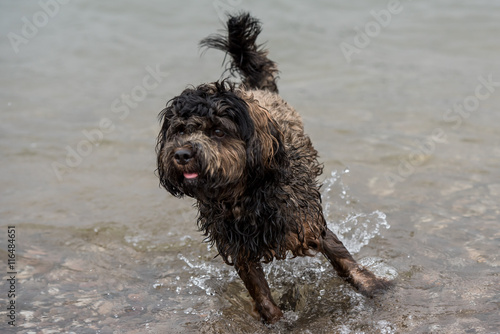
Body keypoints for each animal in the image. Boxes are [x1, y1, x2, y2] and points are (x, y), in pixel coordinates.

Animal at [156, 13, 390, 324]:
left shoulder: (308, 223)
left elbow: (342, 258)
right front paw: (275, 319)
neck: (245, 195)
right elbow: (260, 292)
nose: (182, 154)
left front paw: (373, 286)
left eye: (218, 131)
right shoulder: (239, 248)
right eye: (180, 130)